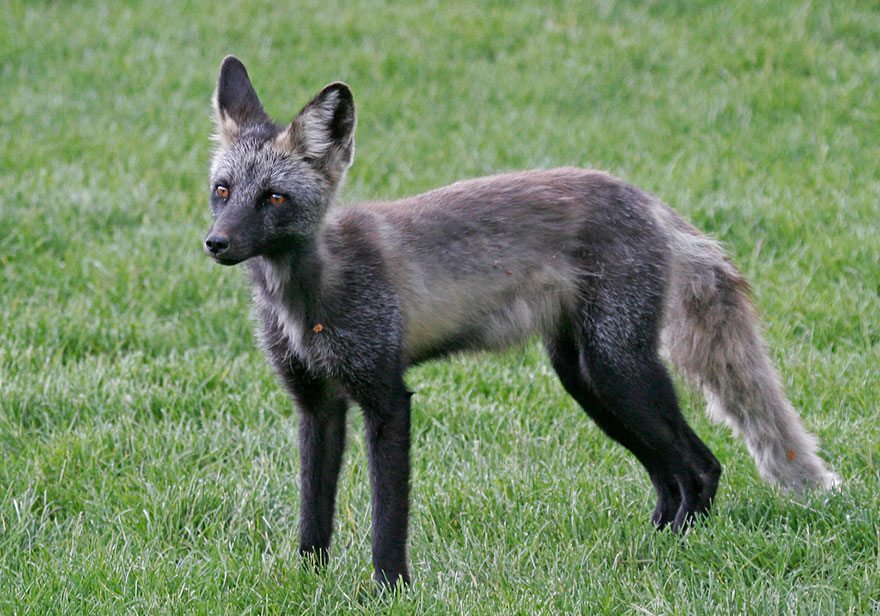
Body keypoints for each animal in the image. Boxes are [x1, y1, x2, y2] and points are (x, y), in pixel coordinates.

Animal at [203, 56, 839, 587]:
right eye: (223, 191)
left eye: (274, 198)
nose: (216, 243)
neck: (308, 302)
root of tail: (647, 199)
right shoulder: (316, 405)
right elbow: (314, 513)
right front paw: (308, 583)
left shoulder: (387, 398)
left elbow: (388, 518)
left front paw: (389, 589)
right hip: (587, 380)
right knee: (669, 477)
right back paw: (653, 545)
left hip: (619, 372)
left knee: (702, 469)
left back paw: (679, 551)